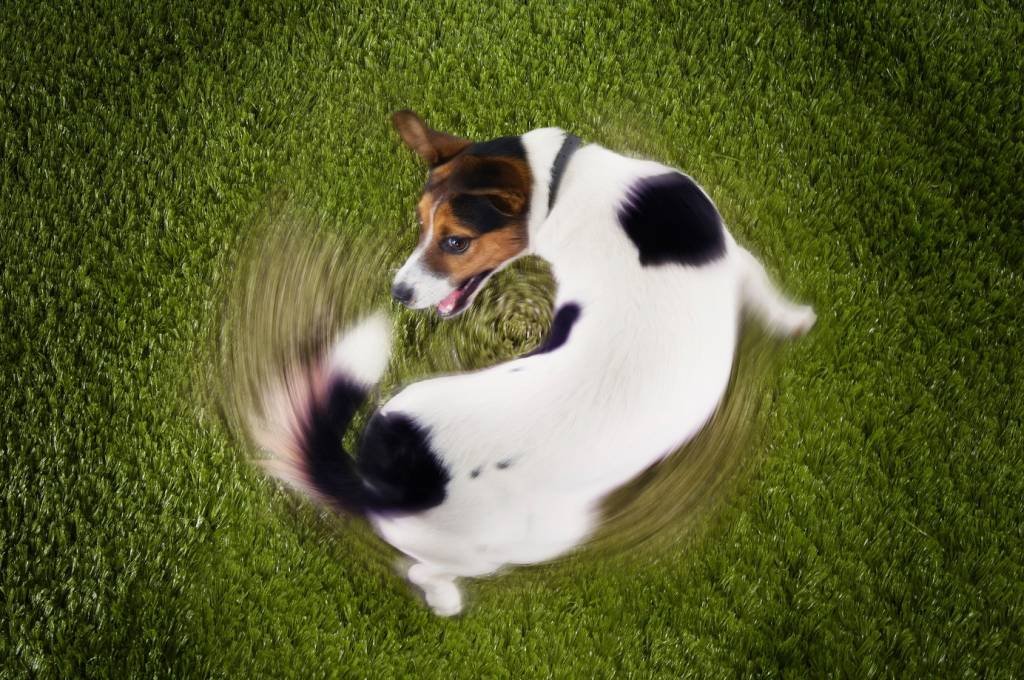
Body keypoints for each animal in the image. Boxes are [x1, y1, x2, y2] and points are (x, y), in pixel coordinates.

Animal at [251, 111, 819, 614]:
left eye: (454, 240)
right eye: (421, 227)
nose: (399, 292)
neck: (565, 186)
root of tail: (385, 482)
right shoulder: (736, 256)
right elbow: (766, 290)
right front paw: (797, 321)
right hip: (527, 540)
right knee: (424, 570)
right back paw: (447, 602)